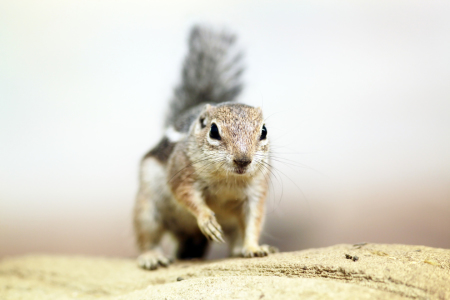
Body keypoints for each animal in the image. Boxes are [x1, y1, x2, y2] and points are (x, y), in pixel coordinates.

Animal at [132, 25, 276, 270]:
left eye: (264, 131)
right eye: (214, 131)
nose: (243, 160)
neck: (228, 180)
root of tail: (187, 234)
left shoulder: (256, 191)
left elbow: (254, 220)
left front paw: (254, 248)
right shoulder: (181, 171)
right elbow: (186, 195)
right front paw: (207, 219)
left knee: (236, 236)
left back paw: (240, 249)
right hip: (147, 209)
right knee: (147, 238)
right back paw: (152, 257)